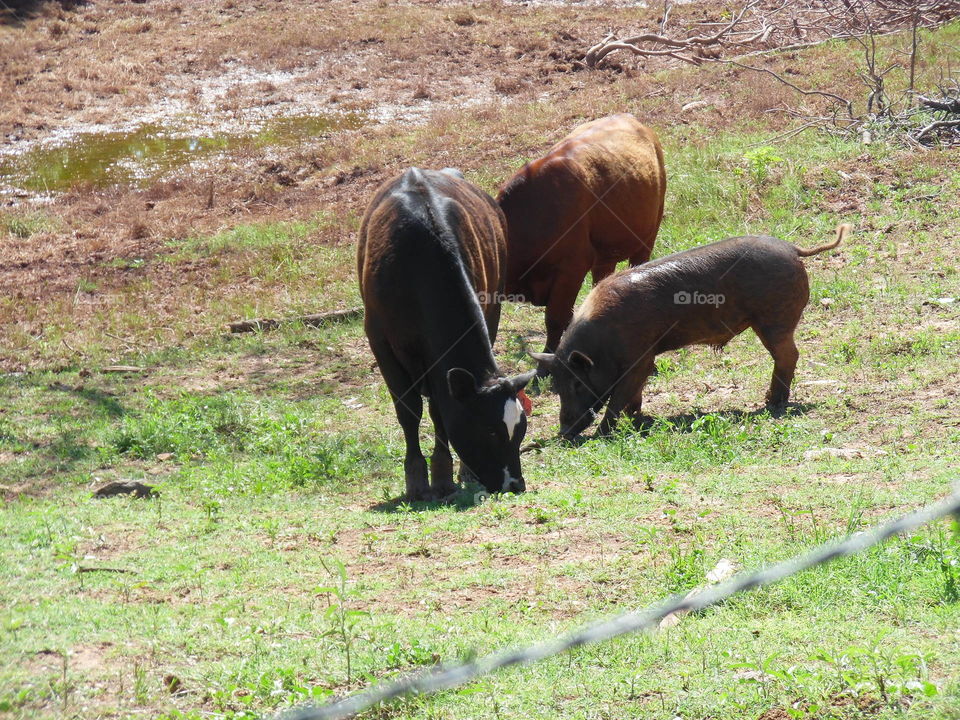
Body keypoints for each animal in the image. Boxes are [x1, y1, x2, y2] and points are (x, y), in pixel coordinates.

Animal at [358, 167, 536, 501]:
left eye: (520, 430)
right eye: (489, 430)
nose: (515, 484)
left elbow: (440, 410)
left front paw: (442, 474)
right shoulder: (380, 342)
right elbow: (408, 410)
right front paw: (415, 479)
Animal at [532, 225, 851, 438]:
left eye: (577, 383)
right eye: (556, 384)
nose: (564, 432)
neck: (602, 341)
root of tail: (793, 249)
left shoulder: (640, 355)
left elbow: (620, 395)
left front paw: (604, 433)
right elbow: (634, 392)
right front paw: (637, 416)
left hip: (775, 319)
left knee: (789, 355)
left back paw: (772, 402)